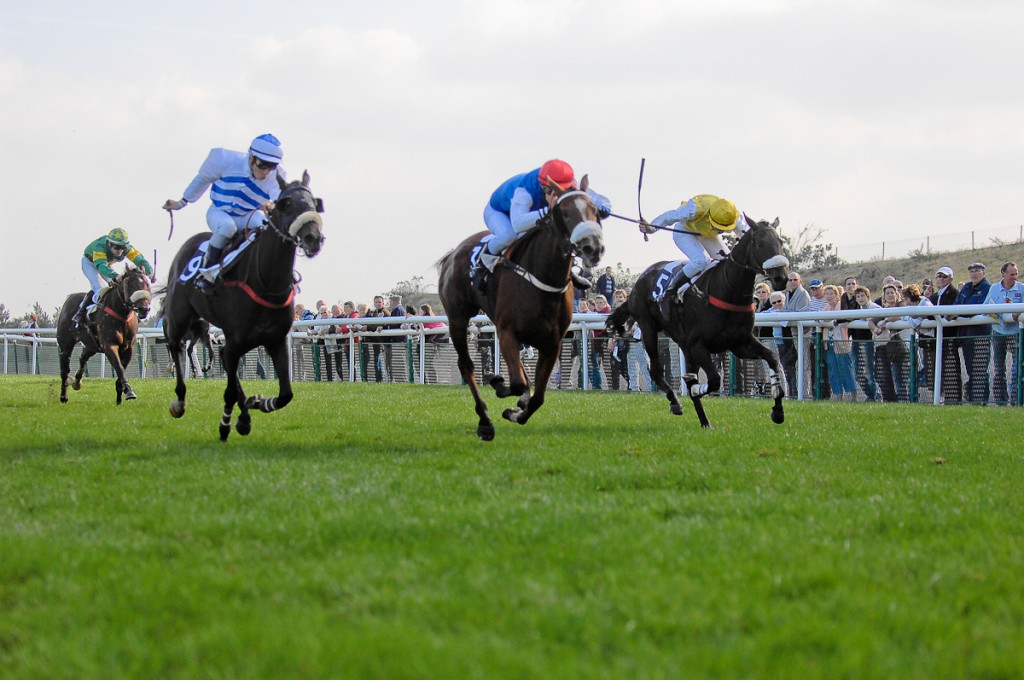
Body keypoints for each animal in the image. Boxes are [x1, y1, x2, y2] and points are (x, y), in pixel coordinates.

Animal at [56, 266, 152, 403]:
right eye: (132, 285)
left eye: (147, 284)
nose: (144, 309)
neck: (121, 313)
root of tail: (70, 297)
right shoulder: (109, 345)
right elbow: (119, 368)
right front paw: (129, 391)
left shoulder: (128, 348)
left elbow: (121, 369)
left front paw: (119, 399)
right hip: (65, 345)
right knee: (64, 370)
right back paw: (63, 397)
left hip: (91, 346)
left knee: (82, 357)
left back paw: (77, 382)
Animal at [162, 166, 323, 438]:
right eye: (286, 203)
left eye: (315, 202)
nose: (313, 237)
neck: (266, 283)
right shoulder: (236, 341)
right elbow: (229, 390)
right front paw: (227, 423)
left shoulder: (276, 340)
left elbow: (285, 394)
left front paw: (257, 404)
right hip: (178, 318)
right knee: (176, 347)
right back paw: (180, 400)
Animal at [436, 175, 602, 440]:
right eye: (565, 213)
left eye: (595, 210)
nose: (592, 248)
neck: (543, 277)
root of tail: (453, 254)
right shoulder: (507, 332)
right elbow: (517, 383)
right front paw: (499, 385)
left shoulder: (552, 343)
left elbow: (538, 396)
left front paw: (517, 410)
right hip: (457, 318)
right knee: (466, 366)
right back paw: (485, 421)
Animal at [606, 218, 790, 428]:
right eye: (760, 244)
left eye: (780, 242)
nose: (781, 278)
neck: (727, 290)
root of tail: (639, 281)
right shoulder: (698, 345)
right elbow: (713, 380)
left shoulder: (740, 343)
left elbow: (772, 357)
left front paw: (778, 410)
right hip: (648, 328)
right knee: (656, 371)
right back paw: (675, 402)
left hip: (683, 346)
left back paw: (705, 422)